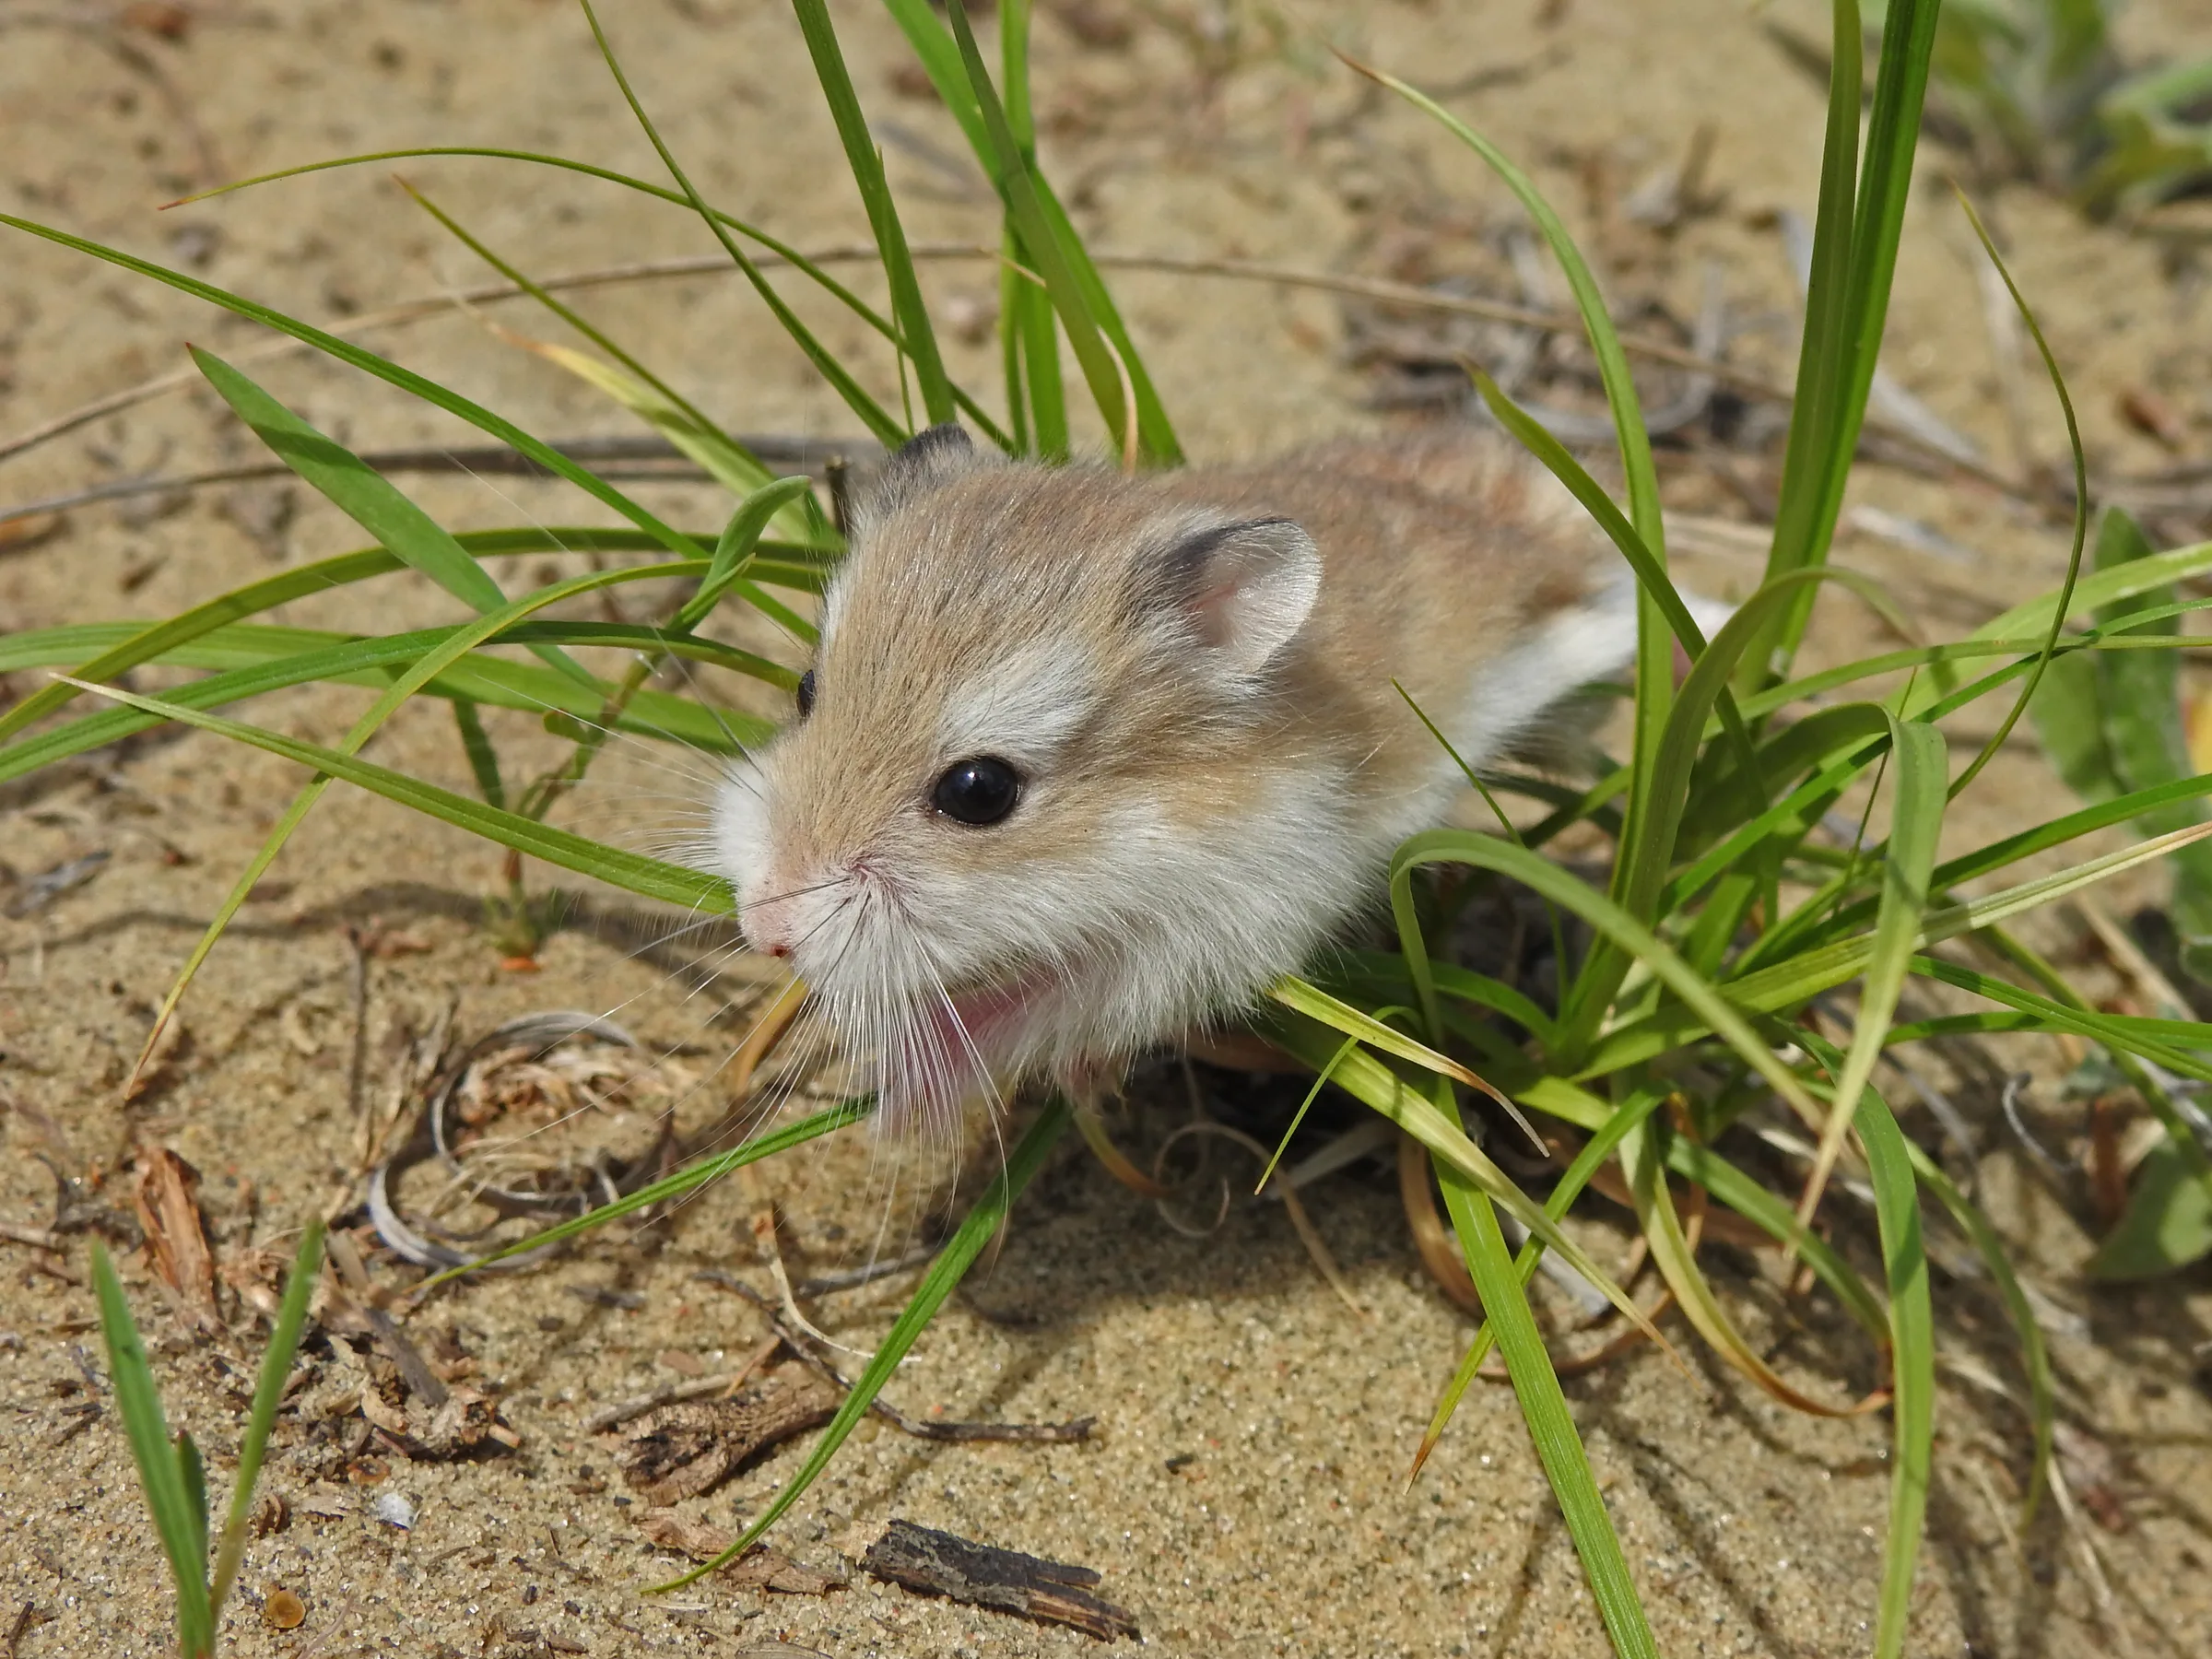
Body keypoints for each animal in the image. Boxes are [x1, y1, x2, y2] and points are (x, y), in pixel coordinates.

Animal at [710, 424, 1654, 1138]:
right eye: (805, 692)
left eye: (980, 791)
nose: (765, 931)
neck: (1146, 814)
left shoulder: (1213, 929)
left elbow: (1042, 1009)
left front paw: (895, 1117)